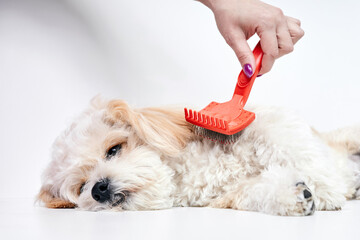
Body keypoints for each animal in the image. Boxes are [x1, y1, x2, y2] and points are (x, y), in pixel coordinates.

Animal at [37, 97, 360, 216]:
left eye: (113, 149)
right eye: (81, 187)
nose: (99, 189)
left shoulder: (269, 121)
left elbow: (293, 146)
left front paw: (327, 187)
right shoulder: (230, 195)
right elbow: (258, 191)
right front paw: (295, 196)